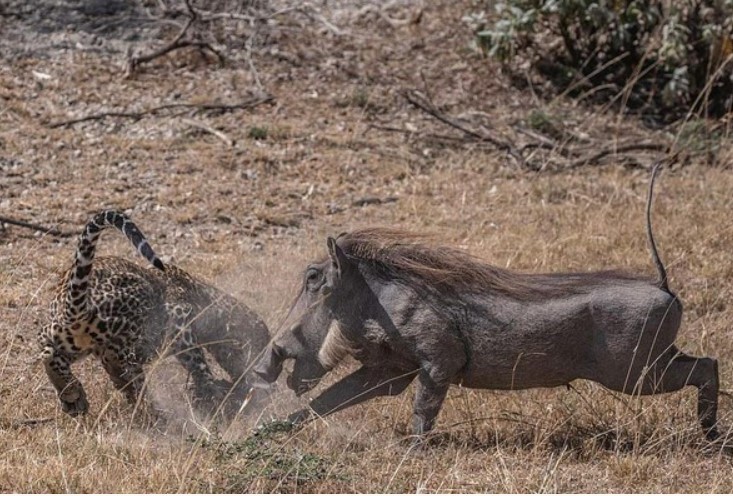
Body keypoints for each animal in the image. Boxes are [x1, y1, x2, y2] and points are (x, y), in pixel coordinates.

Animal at [38, 211, 272, 420]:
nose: (265, 374)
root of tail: (71, 302)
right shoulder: (180, 318)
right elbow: (197, 362)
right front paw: (212, 393)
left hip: (69, 338)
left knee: (48, 350)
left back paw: (73, 395)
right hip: (132, 303)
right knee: (115, 354)